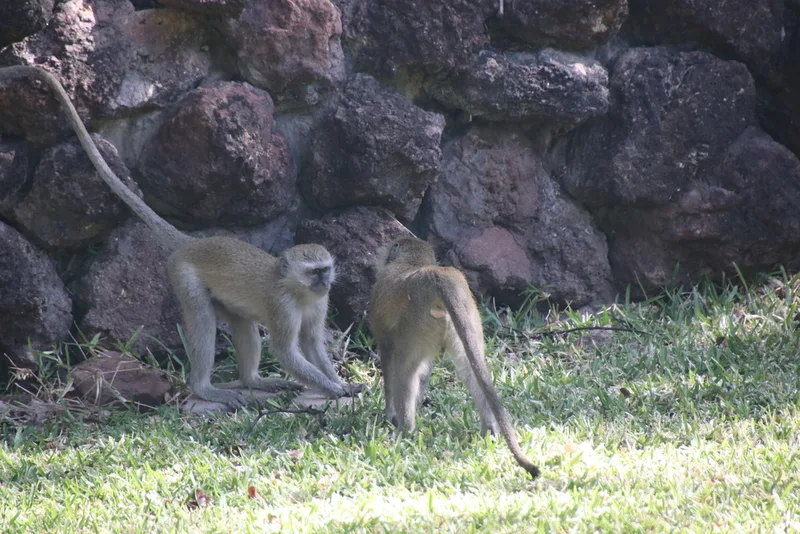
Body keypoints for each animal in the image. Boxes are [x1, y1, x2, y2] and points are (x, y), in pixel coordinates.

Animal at [0, 65, 362, 409]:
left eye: (326, 270)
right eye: (313, 272)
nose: (325, 282)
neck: (299, 291)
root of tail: (193, 243)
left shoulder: (320, 302)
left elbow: (311, 343)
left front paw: (340, 383)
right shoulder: (282, 305)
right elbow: (287, 351)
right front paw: (335, 389)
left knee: (240, 321)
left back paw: (254, 381)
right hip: (182, 275)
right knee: (202, 319)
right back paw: (204, 388)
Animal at [368, 236, 539, 478]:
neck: (412, 262)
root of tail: (438, 277)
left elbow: (390, 360)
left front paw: (389, 417)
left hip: (416, 323)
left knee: (405, 370)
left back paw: (405, 430)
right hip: (465, 316)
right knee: (471, 368)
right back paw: (489, 429)